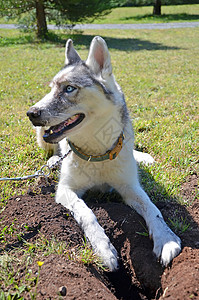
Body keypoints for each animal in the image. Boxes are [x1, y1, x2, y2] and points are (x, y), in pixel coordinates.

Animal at [27, 36, 181, 270]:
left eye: (69, 88)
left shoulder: (129, 187)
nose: (31, 113)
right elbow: (87, 213)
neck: (96, 152)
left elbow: (153, 209)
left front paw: (165, 239)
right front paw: (103, 248)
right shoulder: (66, 190)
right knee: (52, 150)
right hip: (42, 137)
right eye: (52, 88)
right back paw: (53, 160)